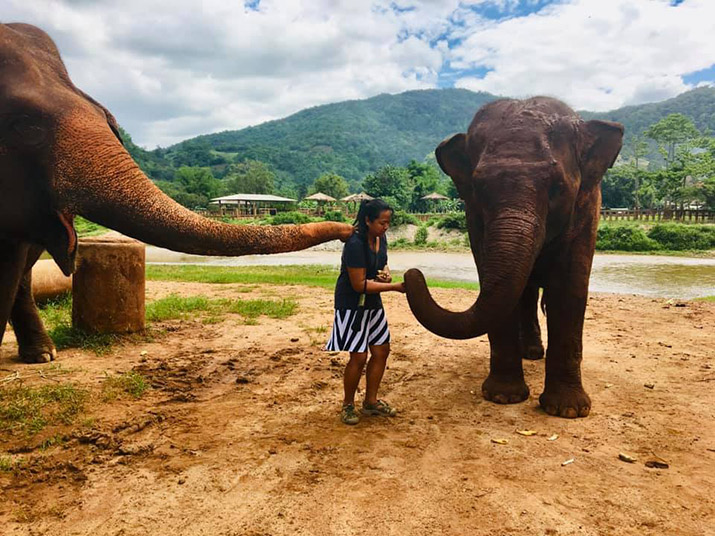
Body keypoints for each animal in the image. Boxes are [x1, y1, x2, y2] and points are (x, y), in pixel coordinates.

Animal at [405, 97, 623, 418]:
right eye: (478, 188)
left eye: (557, 188)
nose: (412, 274)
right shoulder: (474, 218)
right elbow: (492, 278)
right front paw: (503, 397)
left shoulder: (588, 208)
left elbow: (569, 288)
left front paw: (568, 411)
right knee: (526, 293)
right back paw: (530, 353)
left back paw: (534, 355)